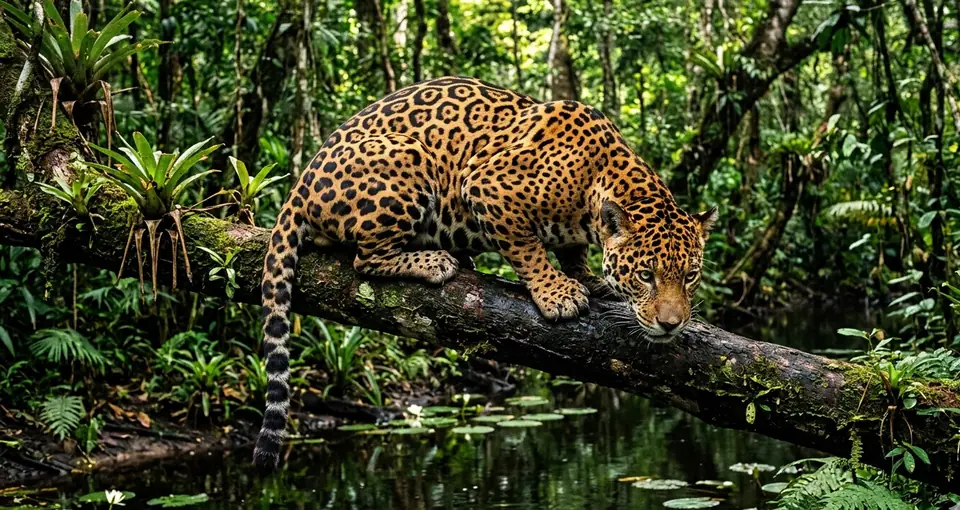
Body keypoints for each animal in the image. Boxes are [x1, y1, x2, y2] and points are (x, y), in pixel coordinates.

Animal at [253, 77, 717, 469]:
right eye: (646, 276)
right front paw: (556, 293)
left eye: (690, 276)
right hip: (408, 156)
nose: (672, 324)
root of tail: (300, 183)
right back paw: (436, 260)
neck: (594, 183)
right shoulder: (488, 186)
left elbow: (571, 251)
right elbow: (528, 248)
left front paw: (587, 278)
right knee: (365, 258)